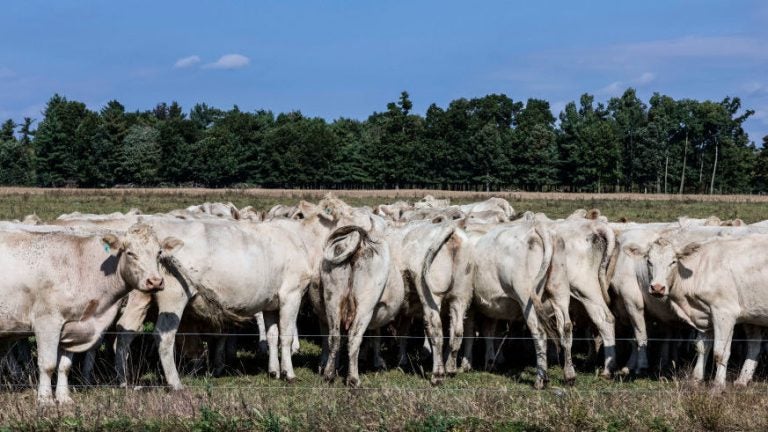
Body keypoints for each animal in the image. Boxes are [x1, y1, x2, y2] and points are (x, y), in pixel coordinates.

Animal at [0, 224, 180, 404]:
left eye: (159, 253)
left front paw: (64, 398)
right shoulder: (47, 322)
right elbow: (48, 365)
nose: (155, 281)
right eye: (130, 253)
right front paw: (45, 400)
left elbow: (65, 366)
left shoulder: (74, 327)